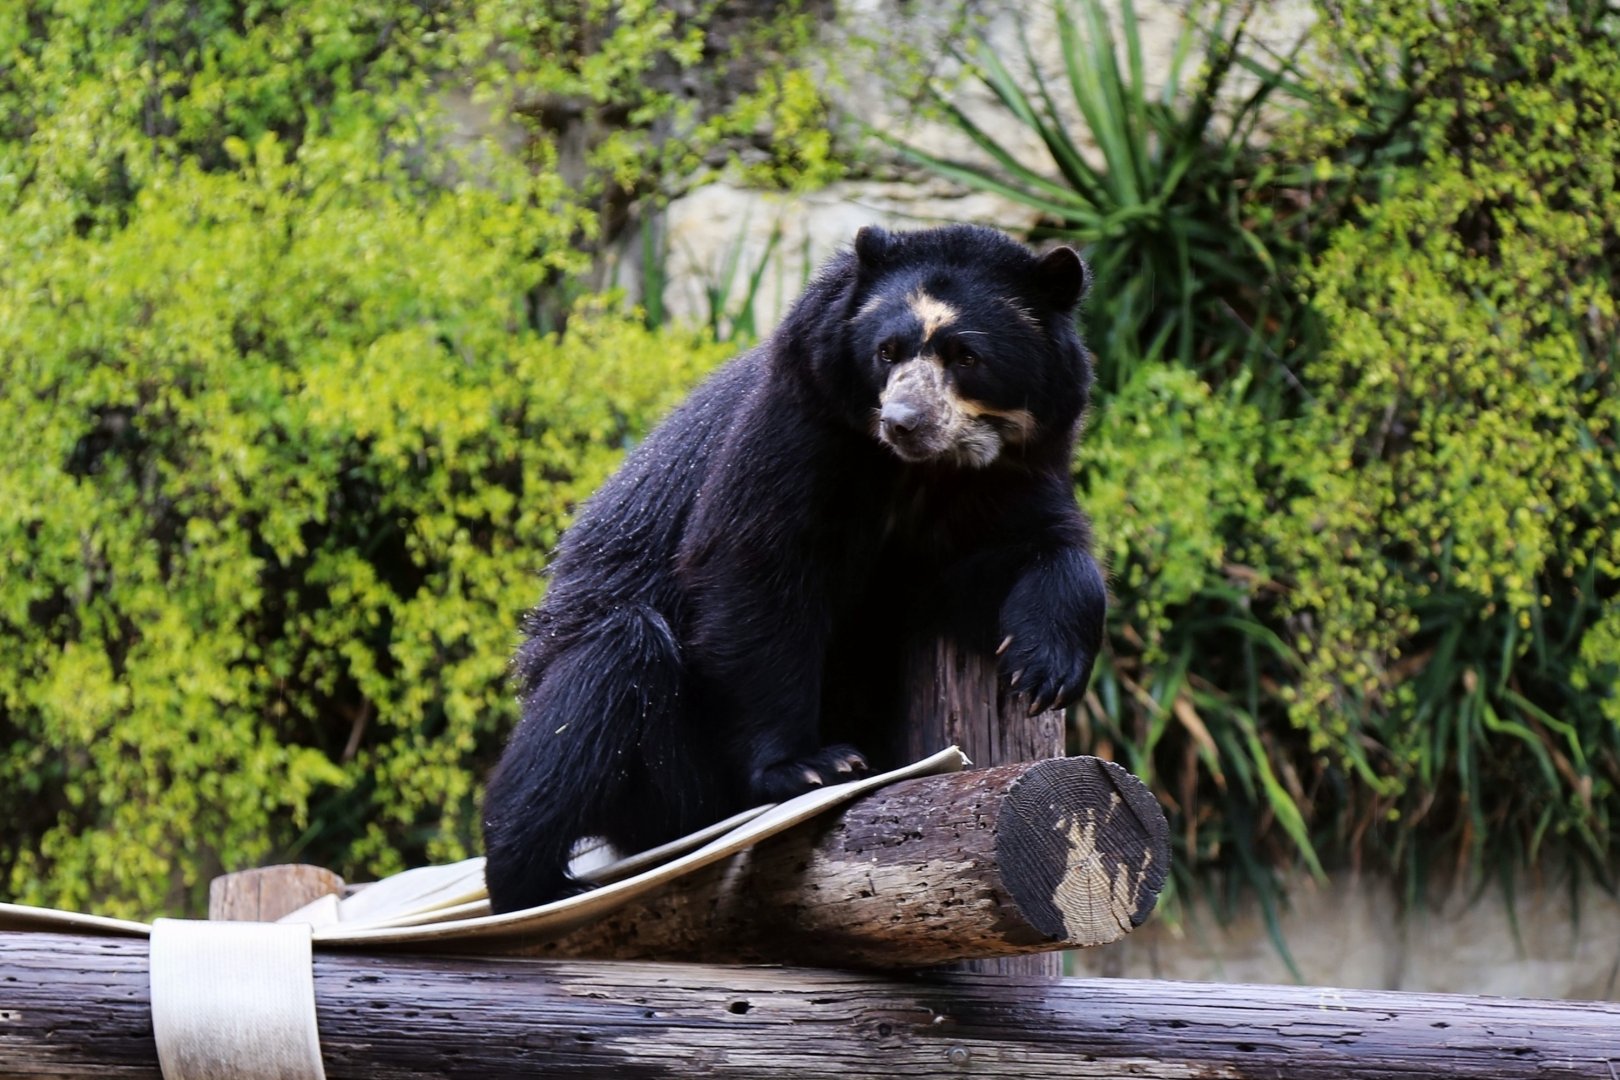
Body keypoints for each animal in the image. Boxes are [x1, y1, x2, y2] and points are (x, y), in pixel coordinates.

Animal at [481, 223, 1107, 913]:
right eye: (886, 351)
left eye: (966, 356)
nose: (903, 422)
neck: (921, 472)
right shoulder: (797, 423)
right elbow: (756, 570)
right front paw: (810, 765)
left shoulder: (1013, 471)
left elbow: (1030, 550)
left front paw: (1042, 669)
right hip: (663, 783)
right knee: (606, 668)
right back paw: (531, 880)